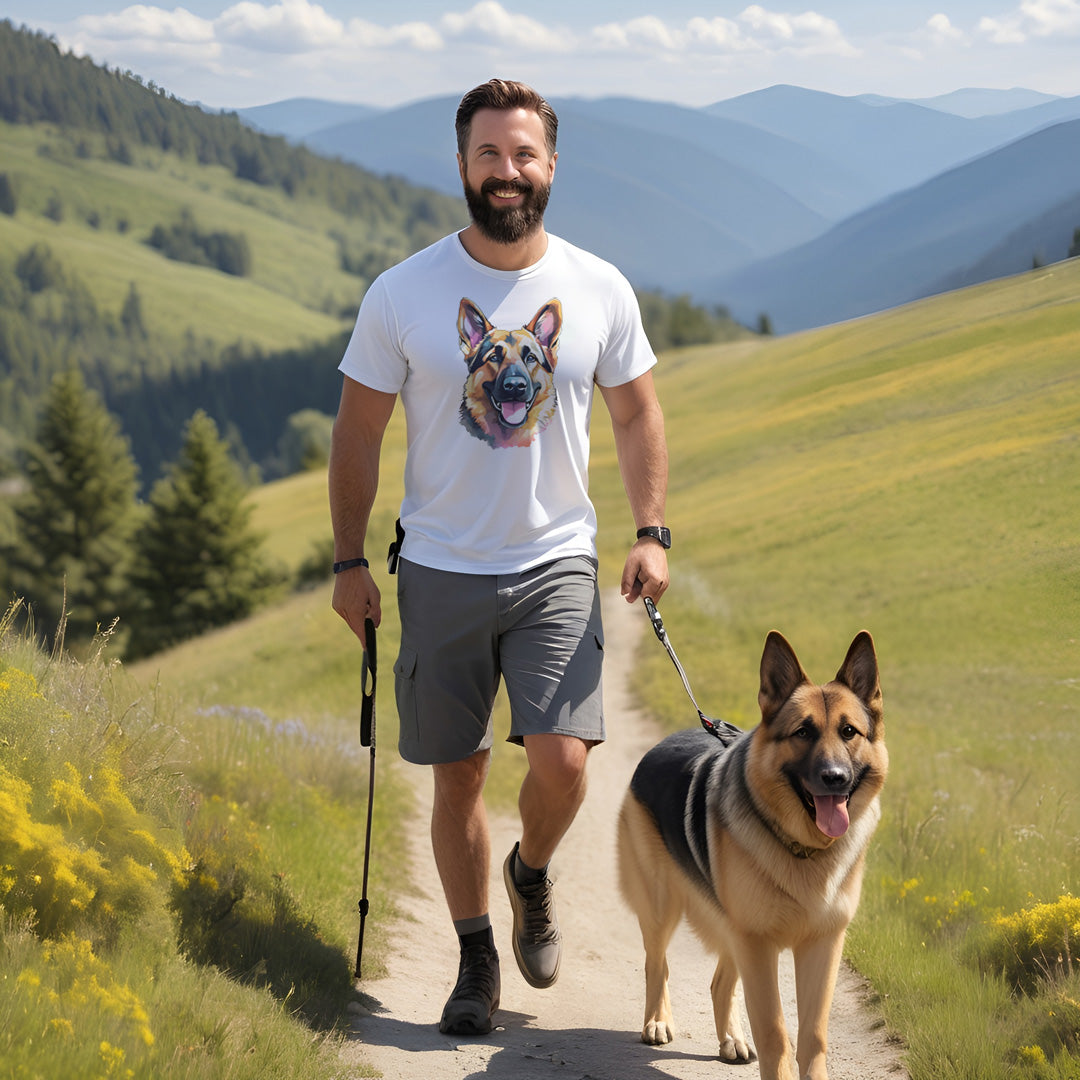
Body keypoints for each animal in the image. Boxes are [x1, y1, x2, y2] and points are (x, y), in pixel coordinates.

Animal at [617, 630, 885, 1075]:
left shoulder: (821, 946)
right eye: (803, 732)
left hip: (732, 927)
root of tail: (661, 743)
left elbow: (813, 1035)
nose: (835, 778)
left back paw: (732, 1039)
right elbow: (775, 1031)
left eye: (849, 731)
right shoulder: (759, 944)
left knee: (719, 983)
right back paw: (657, 1021)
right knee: (657, 964)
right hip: (662, 906)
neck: (805, 849)